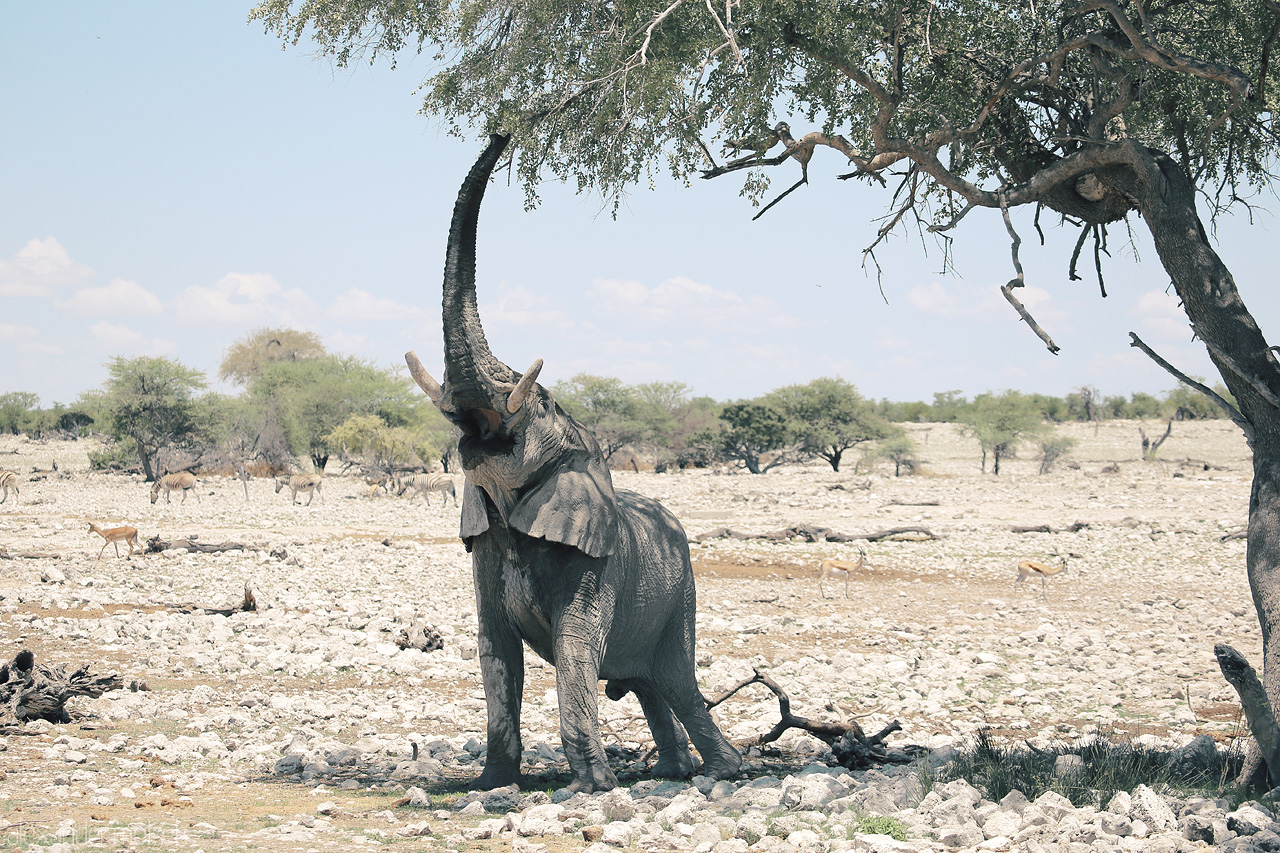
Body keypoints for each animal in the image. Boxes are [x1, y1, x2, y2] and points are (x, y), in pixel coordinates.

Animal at [399, 133, 742, 788]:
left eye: (541, 401)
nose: (504, 129)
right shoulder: (486, 545)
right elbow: (495, 650)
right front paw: (493, 783)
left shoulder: (595, 558)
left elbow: (575, 647)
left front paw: (592, 786)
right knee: (647, 686)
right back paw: (674, 771)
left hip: (681, 596)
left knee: (676, 681)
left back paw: (724, 771)